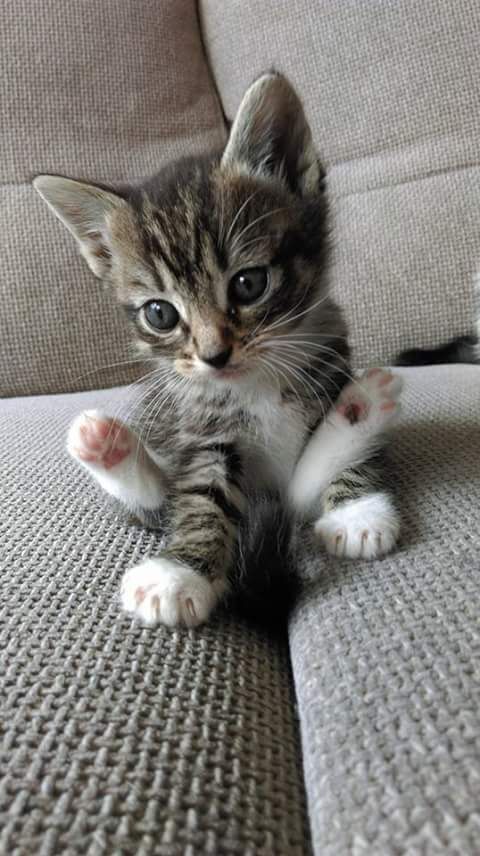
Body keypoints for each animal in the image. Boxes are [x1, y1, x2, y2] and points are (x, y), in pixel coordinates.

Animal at [33, 72, 402, 628]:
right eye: (160, 314)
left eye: (249, 284)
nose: (213, 356)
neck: (258, 381)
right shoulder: (203, 429)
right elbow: (199, 492)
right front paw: (179, 573)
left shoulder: (330, 362)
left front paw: (356, 509)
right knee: (160, 498)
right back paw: (105, 446)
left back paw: (360, 409)